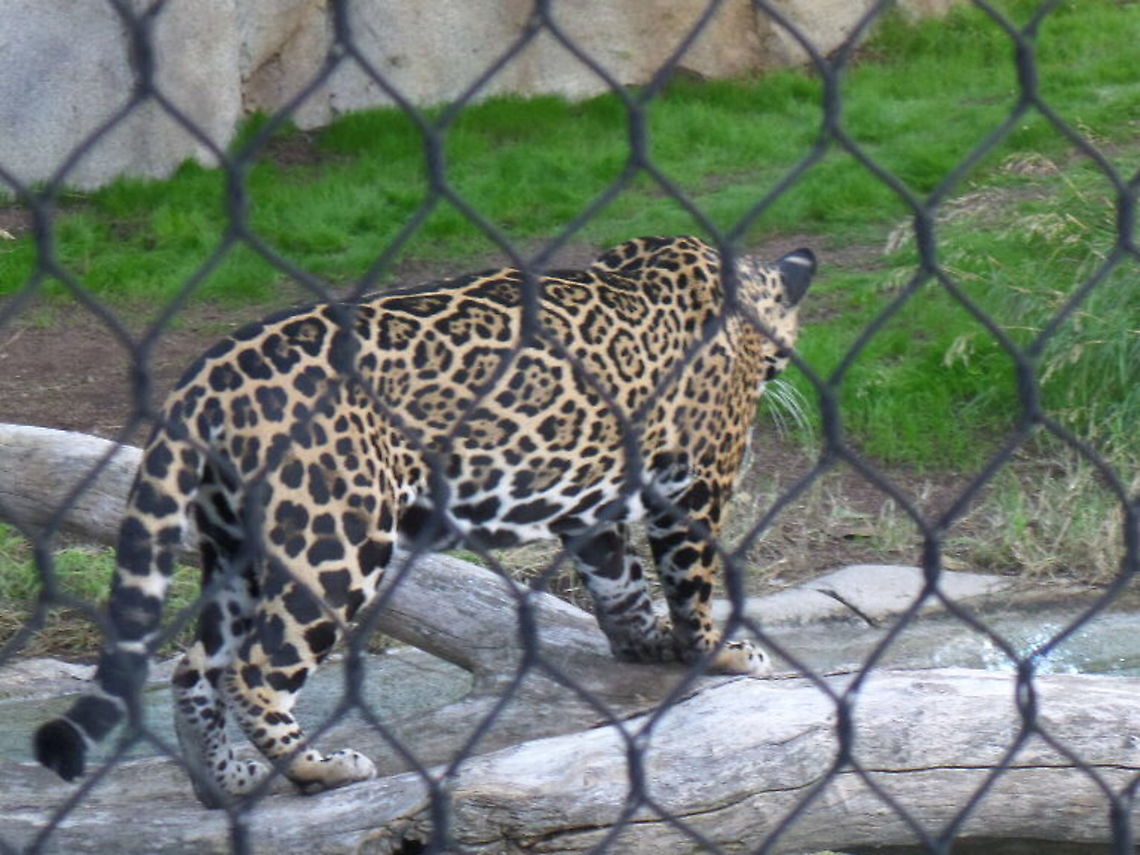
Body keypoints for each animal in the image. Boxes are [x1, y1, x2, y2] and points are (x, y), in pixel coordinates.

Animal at [34, 235, 815, 807]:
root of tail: (204, 381)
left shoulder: (597, 501)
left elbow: (617, 577)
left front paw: (644, 642)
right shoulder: (697, 479)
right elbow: (690, 576)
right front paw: (718, 651)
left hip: (238, 546)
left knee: (196, 667)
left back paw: (222, 782)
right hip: (335, 539)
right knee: (255, 671)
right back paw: (322, 769)